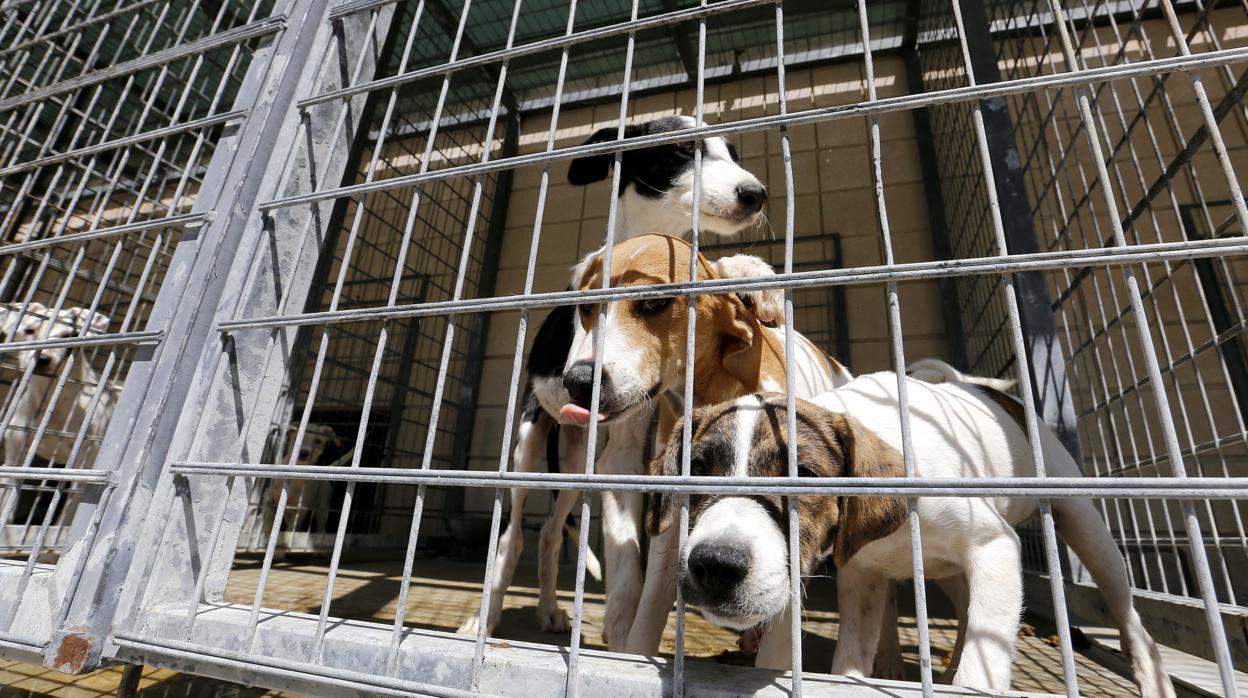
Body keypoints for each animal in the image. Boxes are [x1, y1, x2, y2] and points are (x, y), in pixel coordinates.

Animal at [454, 116, 773, 649]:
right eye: (681, 150)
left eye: (731, 152)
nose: (755, 193)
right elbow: (623, 558)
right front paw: (623, 631)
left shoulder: (628, 440)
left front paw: (749, 271)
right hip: (528, 445)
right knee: (513, 536)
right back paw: (484, 618)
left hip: (574, 464)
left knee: (549, 533)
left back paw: (549, 611)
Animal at [653, 379, 1168, 694]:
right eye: (696, 469)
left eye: (804, 475)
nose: (715, 565)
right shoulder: (861, 577)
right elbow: (851, 658)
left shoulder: (994, 548)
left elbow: (982, 662)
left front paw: (968, 678)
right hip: (943, 572)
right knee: (960, 606)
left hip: (1083, 523)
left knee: (1127, 612)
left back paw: (1152, 677)